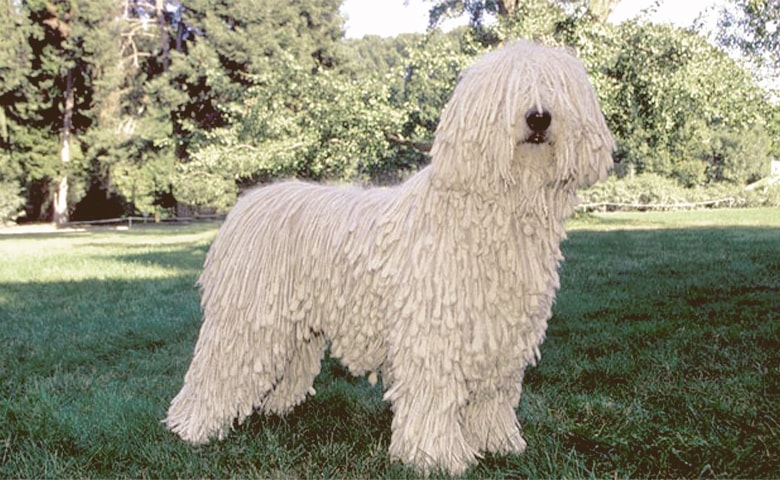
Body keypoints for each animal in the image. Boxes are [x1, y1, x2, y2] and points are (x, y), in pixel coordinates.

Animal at [166, 39, 616, 474]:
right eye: (510, 90)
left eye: (554, 87)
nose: (539, 118)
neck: (496, 210)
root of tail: (248, 203)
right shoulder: (434, 332)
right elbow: (435, 395)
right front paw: (437, 457)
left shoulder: (501, 334)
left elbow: (492, 395)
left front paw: (499, 443)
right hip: (248, 317)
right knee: (217, 370)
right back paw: (193, 428)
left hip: (295, 325)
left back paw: (273, 410)